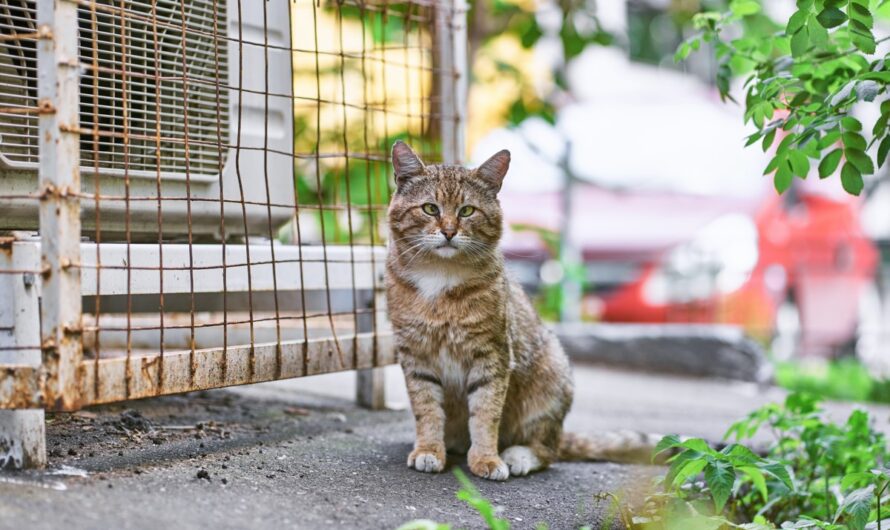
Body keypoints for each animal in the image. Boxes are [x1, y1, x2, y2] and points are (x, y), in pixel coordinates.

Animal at [384, 141, 652, 478]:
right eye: (430, 208)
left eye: (467, 210)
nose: (448, 231)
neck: (439, 276)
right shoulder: (415, 355)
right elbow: (427, 410)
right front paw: (429, 449)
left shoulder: (493, 354)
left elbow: (486, 413)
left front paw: (486, 458)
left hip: (552, 377)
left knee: (548, 449)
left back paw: (519, 455)